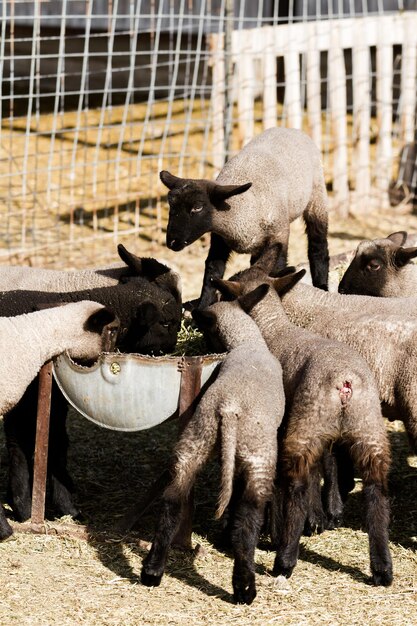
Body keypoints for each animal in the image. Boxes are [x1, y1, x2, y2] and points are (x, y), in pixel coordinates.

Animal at [161, 125, 330, 308]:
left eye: (197, 207)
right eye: (171, 205)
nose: (172, 242)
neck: (241, 208)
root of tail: (289, 129)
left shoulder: (279, 234)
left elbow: (276, 270)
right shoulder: (219, 239)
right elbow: (213, 271)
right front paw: (204, 305)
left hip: (317, 197)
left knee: (318, 246)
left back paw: (322, 285)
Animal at [216, 270, 392, 584]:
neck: (274, 328)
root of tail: (345, 382)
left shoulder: (281, 423)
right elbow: (327, 465)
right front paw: (326, 514)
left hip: (307, 422)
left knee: (297, 483)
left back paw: (285, 559)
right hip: (368, 425)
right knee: (376, 488)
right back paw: (382, 567)